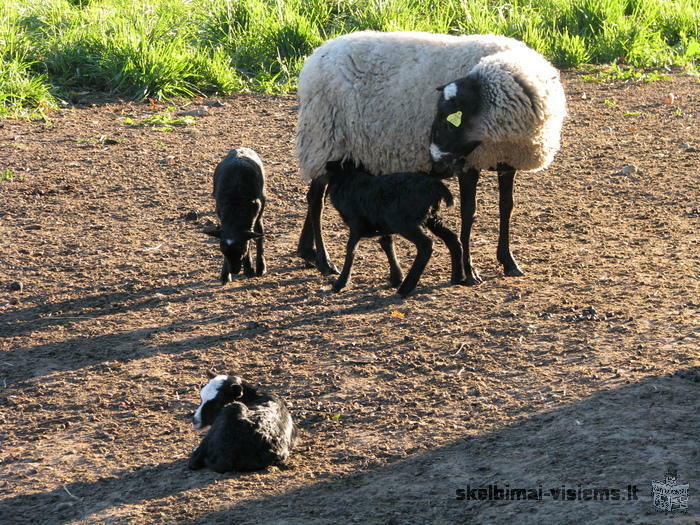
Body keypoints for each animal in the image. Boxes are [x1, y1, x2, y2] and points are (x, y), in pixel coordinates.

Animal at [206, 145, 266, 284]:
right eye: (223, 252)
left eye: (241, 251)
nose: (234, 271)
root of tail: (241, 148)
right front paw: (225, 275)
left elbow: (253, 239)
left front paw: (250, 269)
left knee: (259, 233)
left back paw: (260, 267)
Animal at [292, 29, 568, 282]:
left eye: (450, 122)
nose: (437, 161)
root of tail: (315, 57)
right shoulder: (467, 162)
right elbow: (468, 212)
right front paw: (469, 271)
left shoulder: (505, 160)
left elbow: (506, 207)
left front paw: (509, 261)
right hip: (324, 139)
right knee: (315, 201)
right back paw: (324, 261)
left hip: (339, 150)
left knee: (318, 194)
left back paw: (307, 252)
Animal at [326, 160, 464, 298]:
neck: (347, 179)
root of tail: (436, 185)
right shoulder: (383, 227)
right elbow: (386, 243)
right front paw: (395, 278)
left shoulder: (356, 223)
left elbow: (351, 249)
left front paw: (340, 283)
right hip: (432, 218)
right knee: (452, 238)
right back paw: (458, 278)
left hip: (404, 222)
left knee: (426, 244)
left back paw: (405, 289)